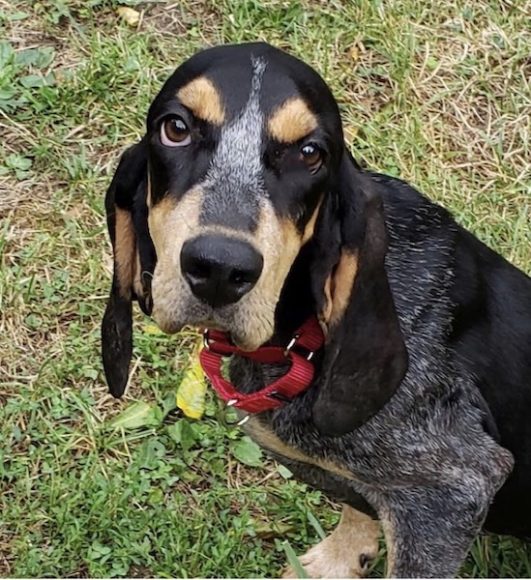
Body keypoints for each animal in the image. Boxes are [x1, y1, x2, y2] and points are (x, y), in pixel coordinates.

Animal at [101, 43, 531, 576]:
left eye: (311, 154)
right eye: (175, 128)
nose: (219, 268)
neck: (302, 335)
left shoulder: (452, 490)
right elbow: (358, 503)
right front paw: (338, 560)